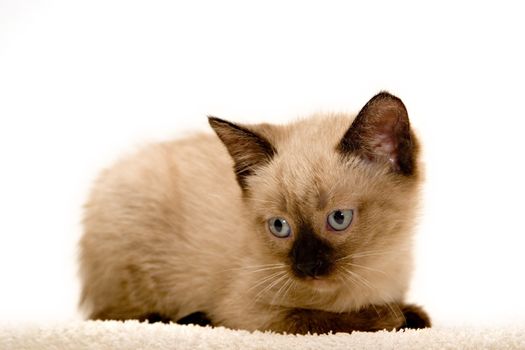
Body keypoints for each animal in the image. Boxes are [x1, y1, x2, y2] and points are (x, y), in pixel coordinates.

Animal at [78, 91, 430, 332]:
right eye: (279, 226)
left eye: (338, 219)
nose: (306, 266)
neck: (370, 275)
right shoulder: (247, 312)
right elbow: (318, 318)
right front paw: (391, 316)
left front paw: (410, 313)